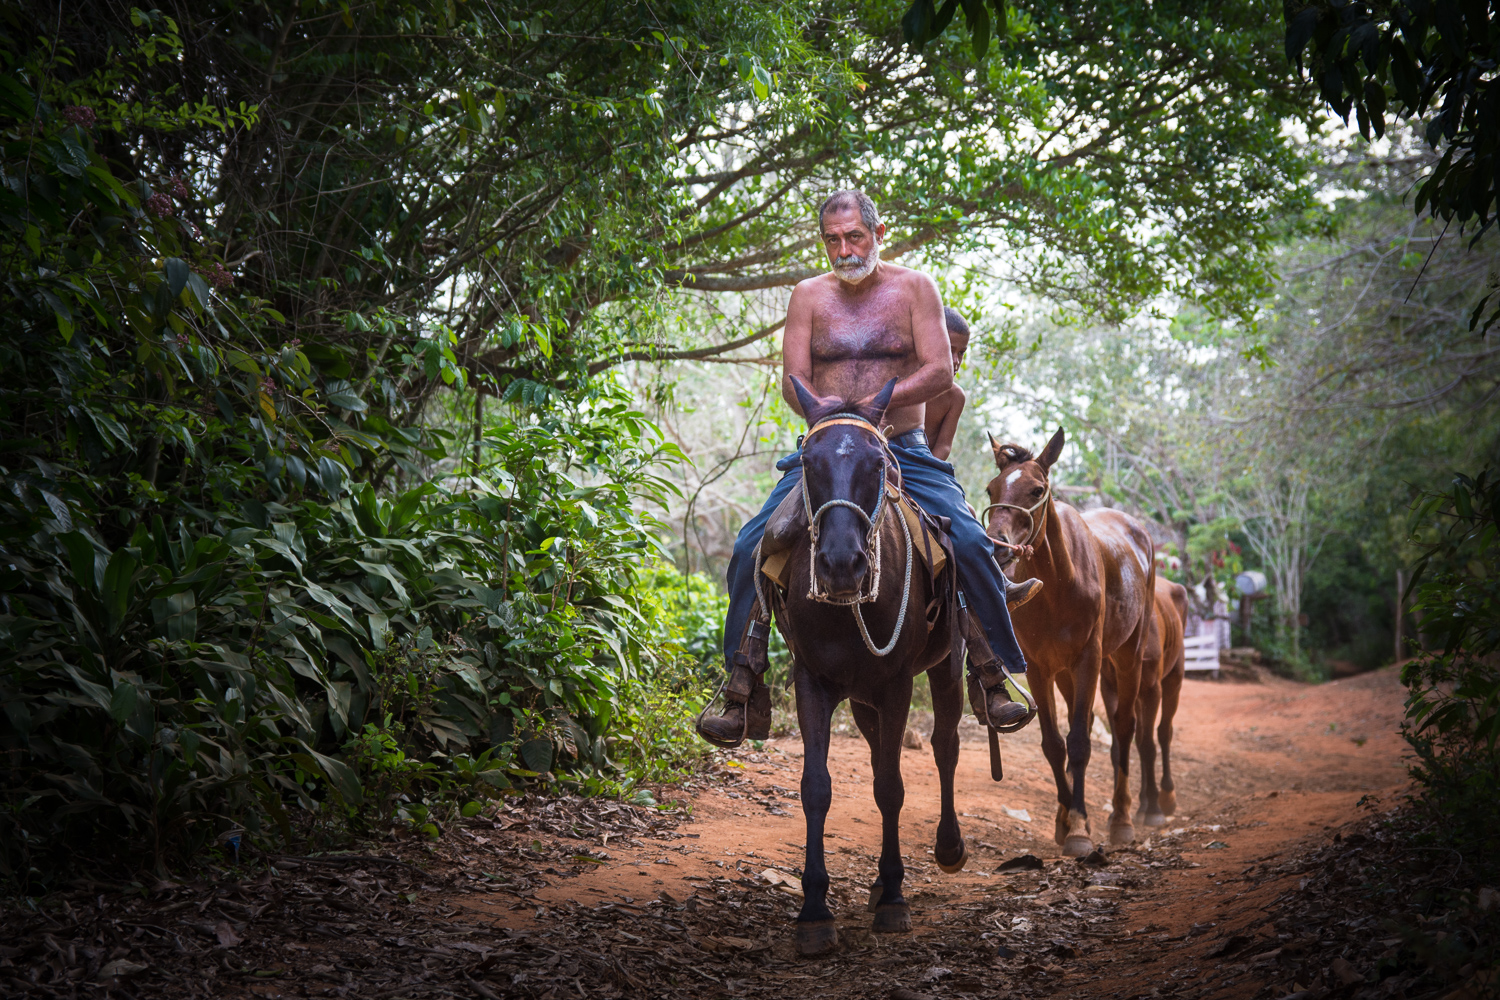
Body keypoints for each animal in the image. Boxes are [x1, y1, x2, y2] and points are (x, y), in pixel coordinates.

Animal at [990, 425, 1152, 857]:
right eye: (993, 488)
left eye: (1036, 489)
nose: (996, 545)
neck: (1059, 585)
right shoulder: (1038, 669)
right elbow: (1053, 744)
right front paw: (1066, 819)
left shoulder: (1088, 661)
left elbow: (1079, 741)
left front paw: (1079, 828)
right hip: (1065, 674)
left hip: (1127, 657)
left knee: (1124, 727)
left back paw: (1121, 819)